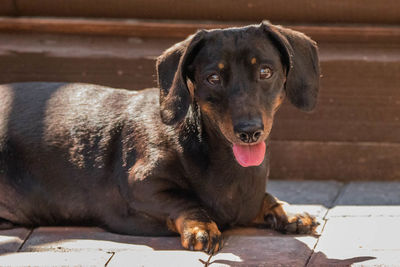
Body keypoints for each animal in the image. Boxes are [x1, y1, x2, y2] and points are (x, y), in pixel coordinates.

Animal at [0, 22, 318, 254]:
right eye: (213, 78)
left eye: (265, 71)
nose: (249, 131)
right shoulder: (141, 185)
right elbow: (185, 201)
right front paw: (202, 227)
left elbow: (265, 199)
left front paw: (287, 211)